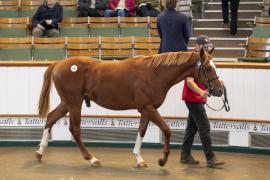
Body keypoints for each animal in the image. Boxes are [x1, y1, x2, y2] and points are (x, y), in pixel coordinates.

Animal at [34, 48, 223, 167]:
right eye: (208, 68)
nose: (220, 90)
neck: (155, 73)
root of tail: (57, 64)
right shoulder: (147, 107)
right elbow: (166, 129)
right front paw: (162, 160)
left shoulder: (147, 109)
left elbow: (142, 131)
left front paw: (139, 159)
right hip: (74, 103)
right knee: (75, 129)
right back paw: (92, 159)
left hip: (67, 103)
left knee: (50, 118)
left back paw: (40, 152)